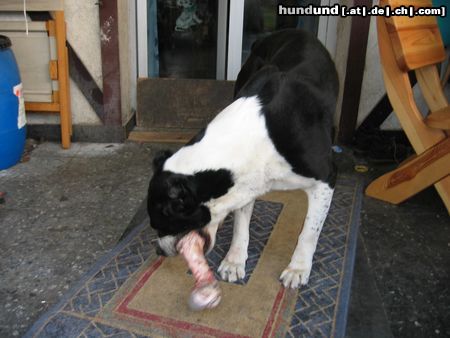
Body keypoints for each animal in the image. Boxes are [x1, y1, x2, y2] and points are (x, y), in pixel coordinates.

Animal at [148, 29, 338, 288]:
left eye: (162, 222)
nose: (159, 251)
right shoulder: (247, 180)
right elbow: (241, 223)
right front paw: (234, 260)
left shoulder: (326, 179)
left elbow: (310, 230)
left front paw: (298, 268)